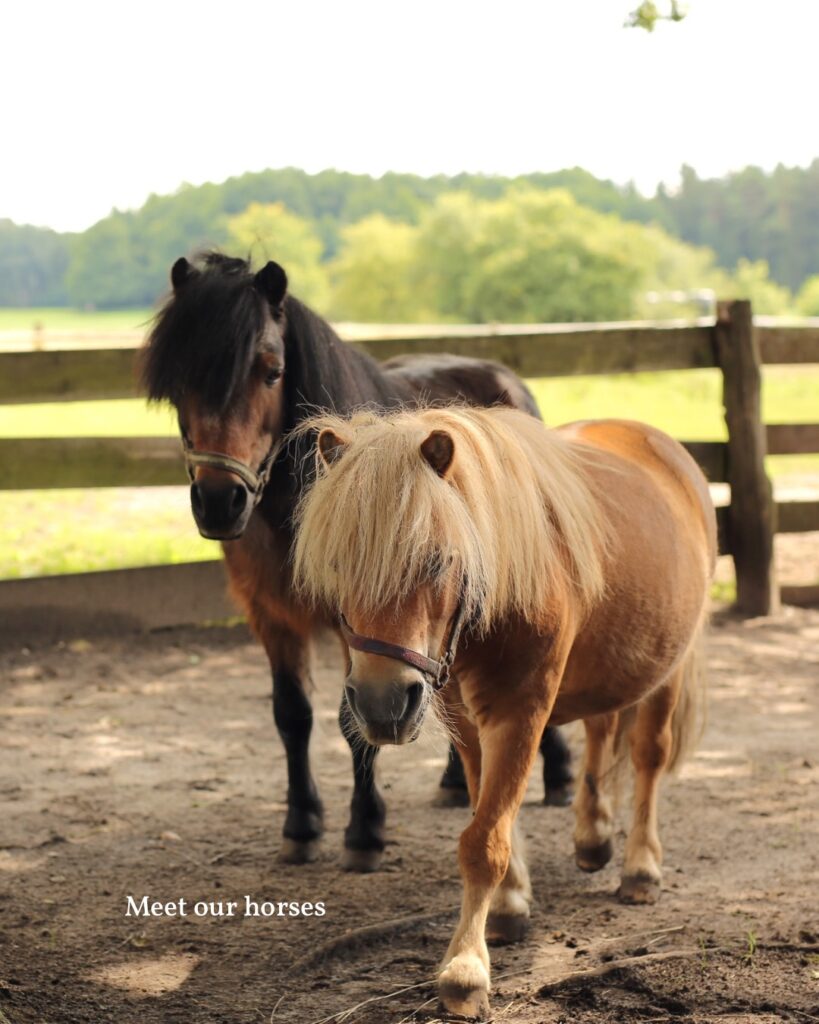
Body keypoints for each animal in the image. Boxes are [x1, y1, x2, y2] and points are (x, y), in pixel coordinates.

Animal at [140, 252, 572, 871]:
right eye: (179, 380)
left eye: (271, 370)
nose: (220, 501)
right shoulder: (270, 616)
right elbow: (291, 715)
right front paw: (302, 824)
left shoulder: (361, 624)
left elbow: (353, 721)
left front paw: (364, 830)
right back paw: (455, 781)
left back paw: (557, 773)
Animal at [292, 405, 716, 1018]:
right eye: (339, 562)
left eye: (436, 560)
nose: (381, 701)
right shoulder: (466, 720)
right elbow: (489, 815)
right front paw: (511, 903)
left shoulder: (520, 712)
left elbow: (483, 841)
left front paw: (465, 968)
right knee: (601, 728)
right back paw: (593, 836)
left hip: (669, 670)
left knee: (647, 758)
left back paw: (640, 864)